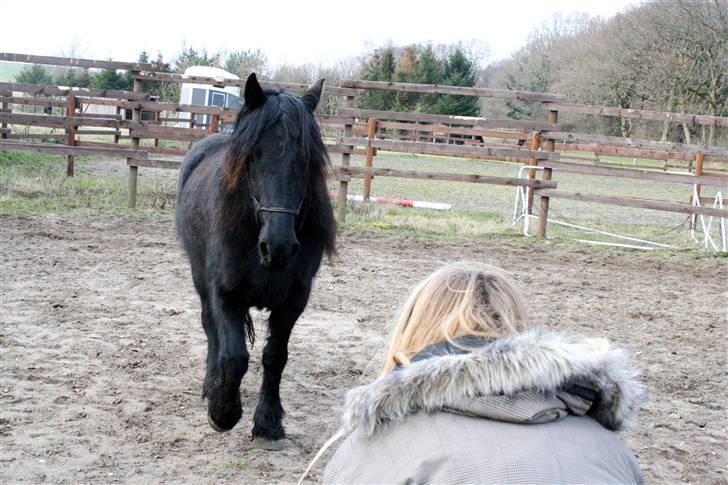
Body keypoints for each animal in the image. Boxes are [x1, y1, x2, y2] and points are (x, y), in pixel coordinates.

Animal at [175, 73, 336, 449]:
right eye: (253, 157)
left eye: (305, 160)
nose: (278, 247)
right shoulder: (224, 294)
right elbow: (234, 356)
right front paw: (223, 413)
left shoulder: (294, 300)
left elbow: (274, 357)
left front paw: (268, 423)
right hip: (200, 280)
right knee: (211, 332)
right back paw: (211, 386)